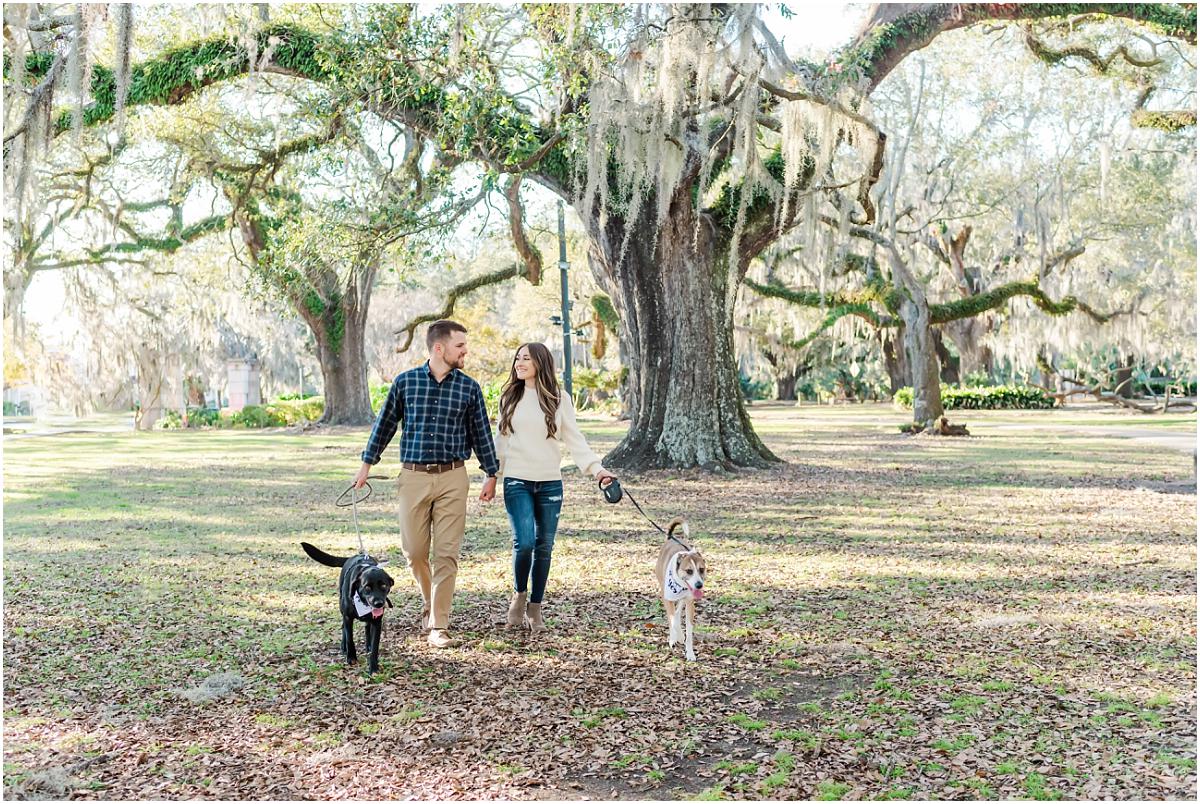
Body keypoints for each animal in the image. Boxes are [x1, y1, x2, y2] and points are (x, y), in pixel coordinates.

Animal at [300, 544, 393, 676]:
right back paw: (344, 646)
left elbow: (375, 646)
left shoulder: (377, 622)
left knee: (366, 627)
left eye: (384, 585)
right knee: (343, 627)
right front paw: (351, 657)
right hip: (342, 609)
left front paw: (373, 667)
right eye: (367, 587)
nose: (379, 604)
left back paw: (368, 646)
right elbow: (350, 638)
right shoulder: (348, 617)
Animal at [657, 520, 700, 662]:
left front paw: (690, 653)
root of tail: (671, 538)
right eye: (689, 571)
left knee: (677, 610)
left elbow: (688, 629)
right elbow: (672, 620)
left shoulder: (690, 602)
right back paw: (674, 637)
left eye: (701, 569)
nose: (699, 585)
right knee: (672, 617)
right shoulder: (666, 597)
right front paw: (678, 637)